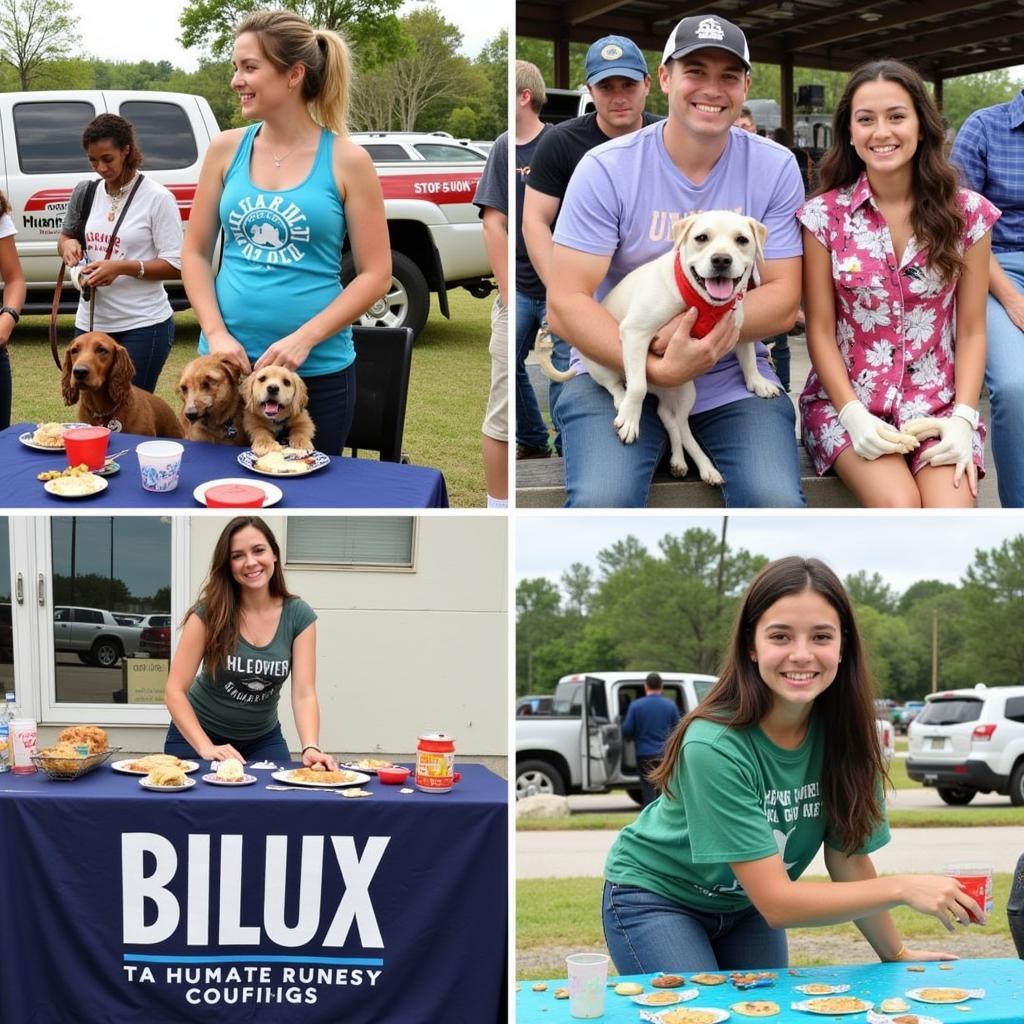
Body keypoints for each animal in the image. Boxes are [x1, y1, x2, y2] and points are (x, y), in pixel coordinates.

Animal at [544, 209, 774, 485]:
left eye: (742, 240)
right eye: (701, 238)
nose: (721, 259)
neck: (702, 301)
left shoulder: (737, 328)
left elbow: (748, 358)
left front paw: (758, 382)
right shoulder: (635, 333)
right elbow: (638, 386)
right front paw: (630, 421)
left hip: (686, 388)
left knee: (676, 421)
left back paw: (695, 465)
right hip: (600, 364)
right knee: (620, 386)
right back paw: (623, 404)